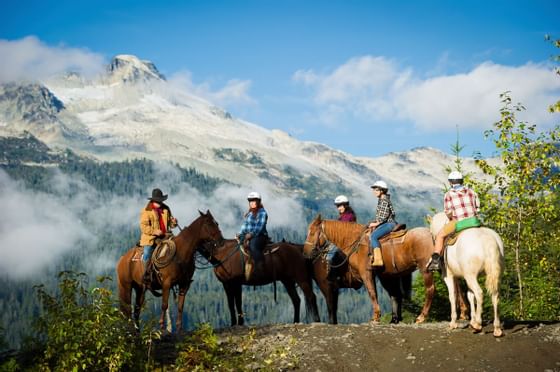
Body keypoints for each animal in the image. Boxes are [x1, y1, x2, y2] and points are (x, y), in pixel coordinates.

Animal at [302, 215, 468, 326]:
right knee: (456, 286)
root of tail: (436, 234)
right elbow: (392, 294)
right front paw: (392, 318)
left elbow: (372, 293)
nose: (306, 253)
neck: (355, 243)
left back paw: (422, 317)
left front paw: (376, 317)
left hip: (425, 269)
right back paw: (463, 313)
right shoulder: (384, 276)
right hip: (443, 268)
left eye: (312, 232)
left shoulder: (366, 273)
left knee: (431, 290)